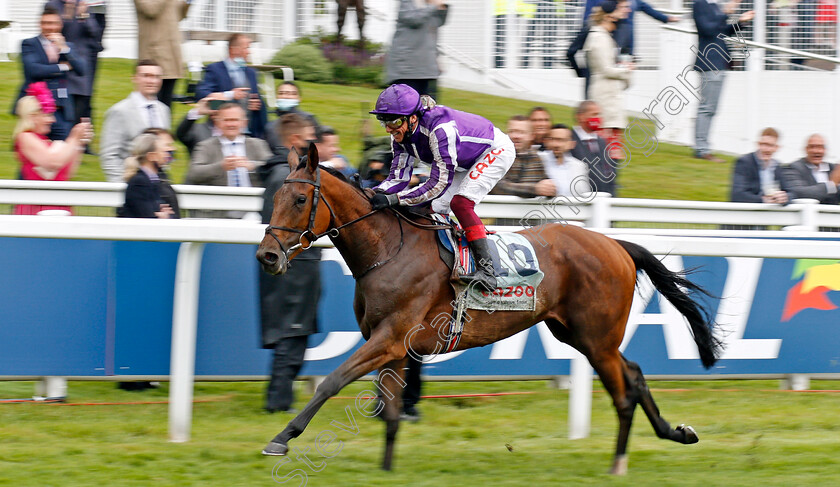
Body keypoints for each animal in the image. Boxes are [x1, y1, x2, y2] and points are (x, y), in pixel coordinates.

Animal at [258, 146, 720, 476]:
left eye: (300, 198)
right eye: (275, 194)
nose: (267, 256)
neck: (389, 249)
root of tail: (616, 244)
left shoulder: (389, 339)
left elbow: (330, 382)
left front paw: (282, 437)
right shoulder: (394, 347)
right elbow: (389, 412)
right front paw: (386, 470)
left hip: (596, 338)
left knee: (624, 392)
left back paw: (618, 463)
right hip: (579, 335)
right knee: (635, 375)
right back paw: (676, 434)